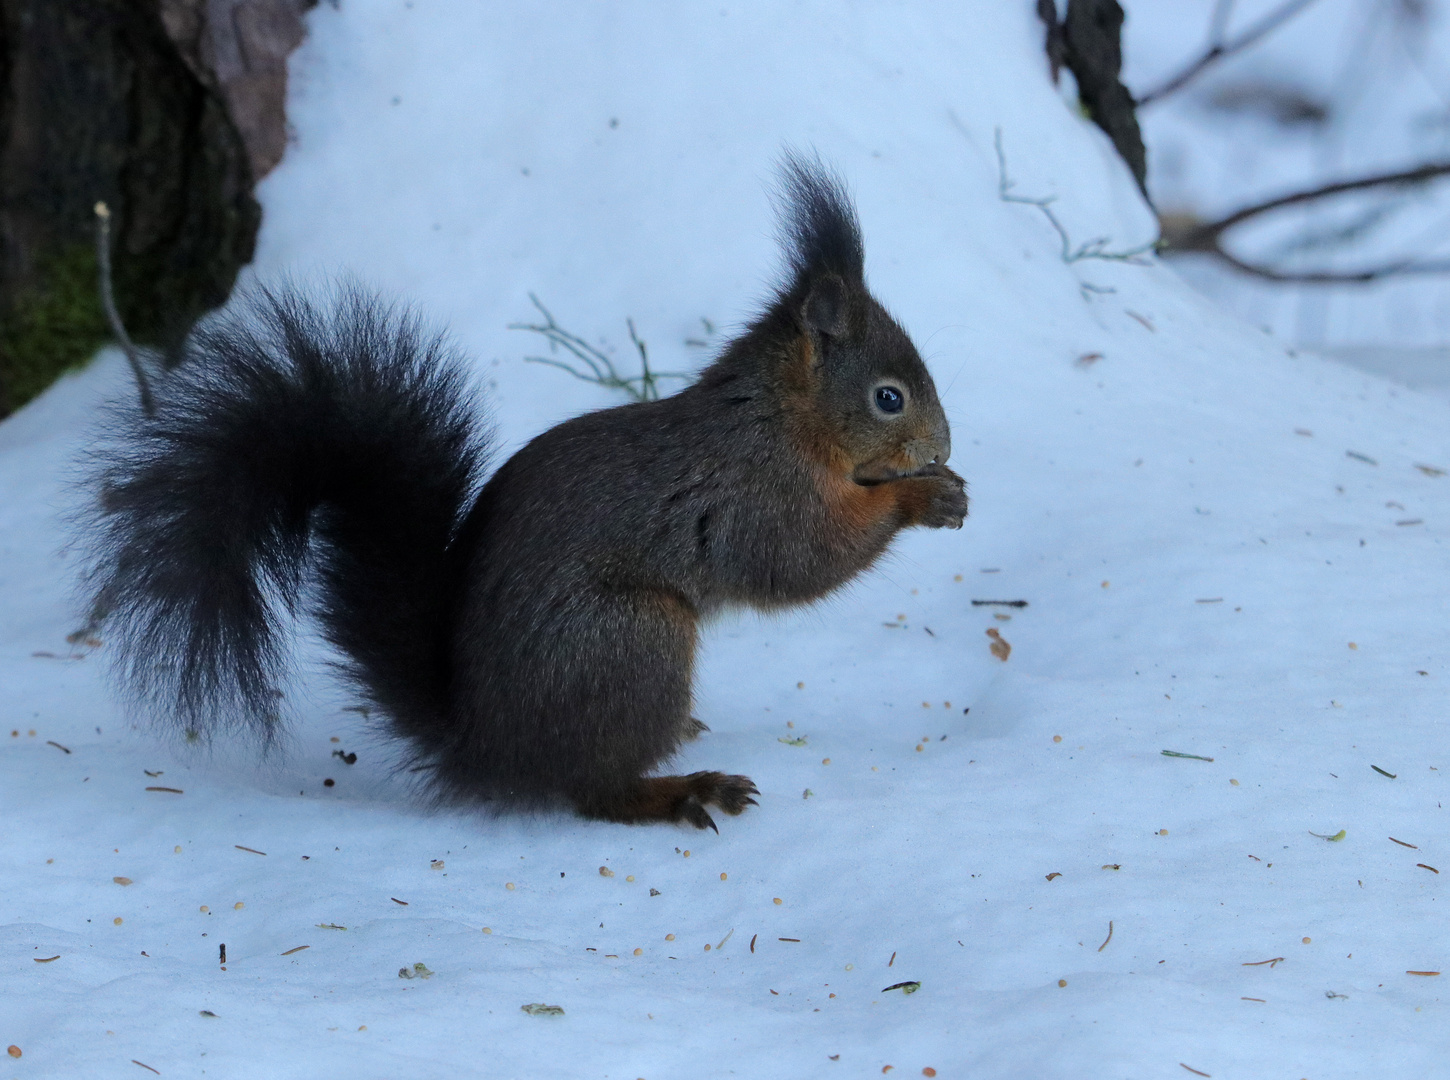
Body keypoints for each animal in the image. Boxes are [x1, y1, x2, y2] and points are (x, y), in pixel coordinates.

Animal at [79, 153, 962, 823]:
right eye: (889, 398)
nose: (943, 445)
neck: (781, 421)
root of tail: (487, 748)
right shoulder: (755, 494)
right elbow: (800, 562)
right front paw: (923, 498)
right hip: (632, 640)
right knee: (593, 793)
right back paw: (680, 791)